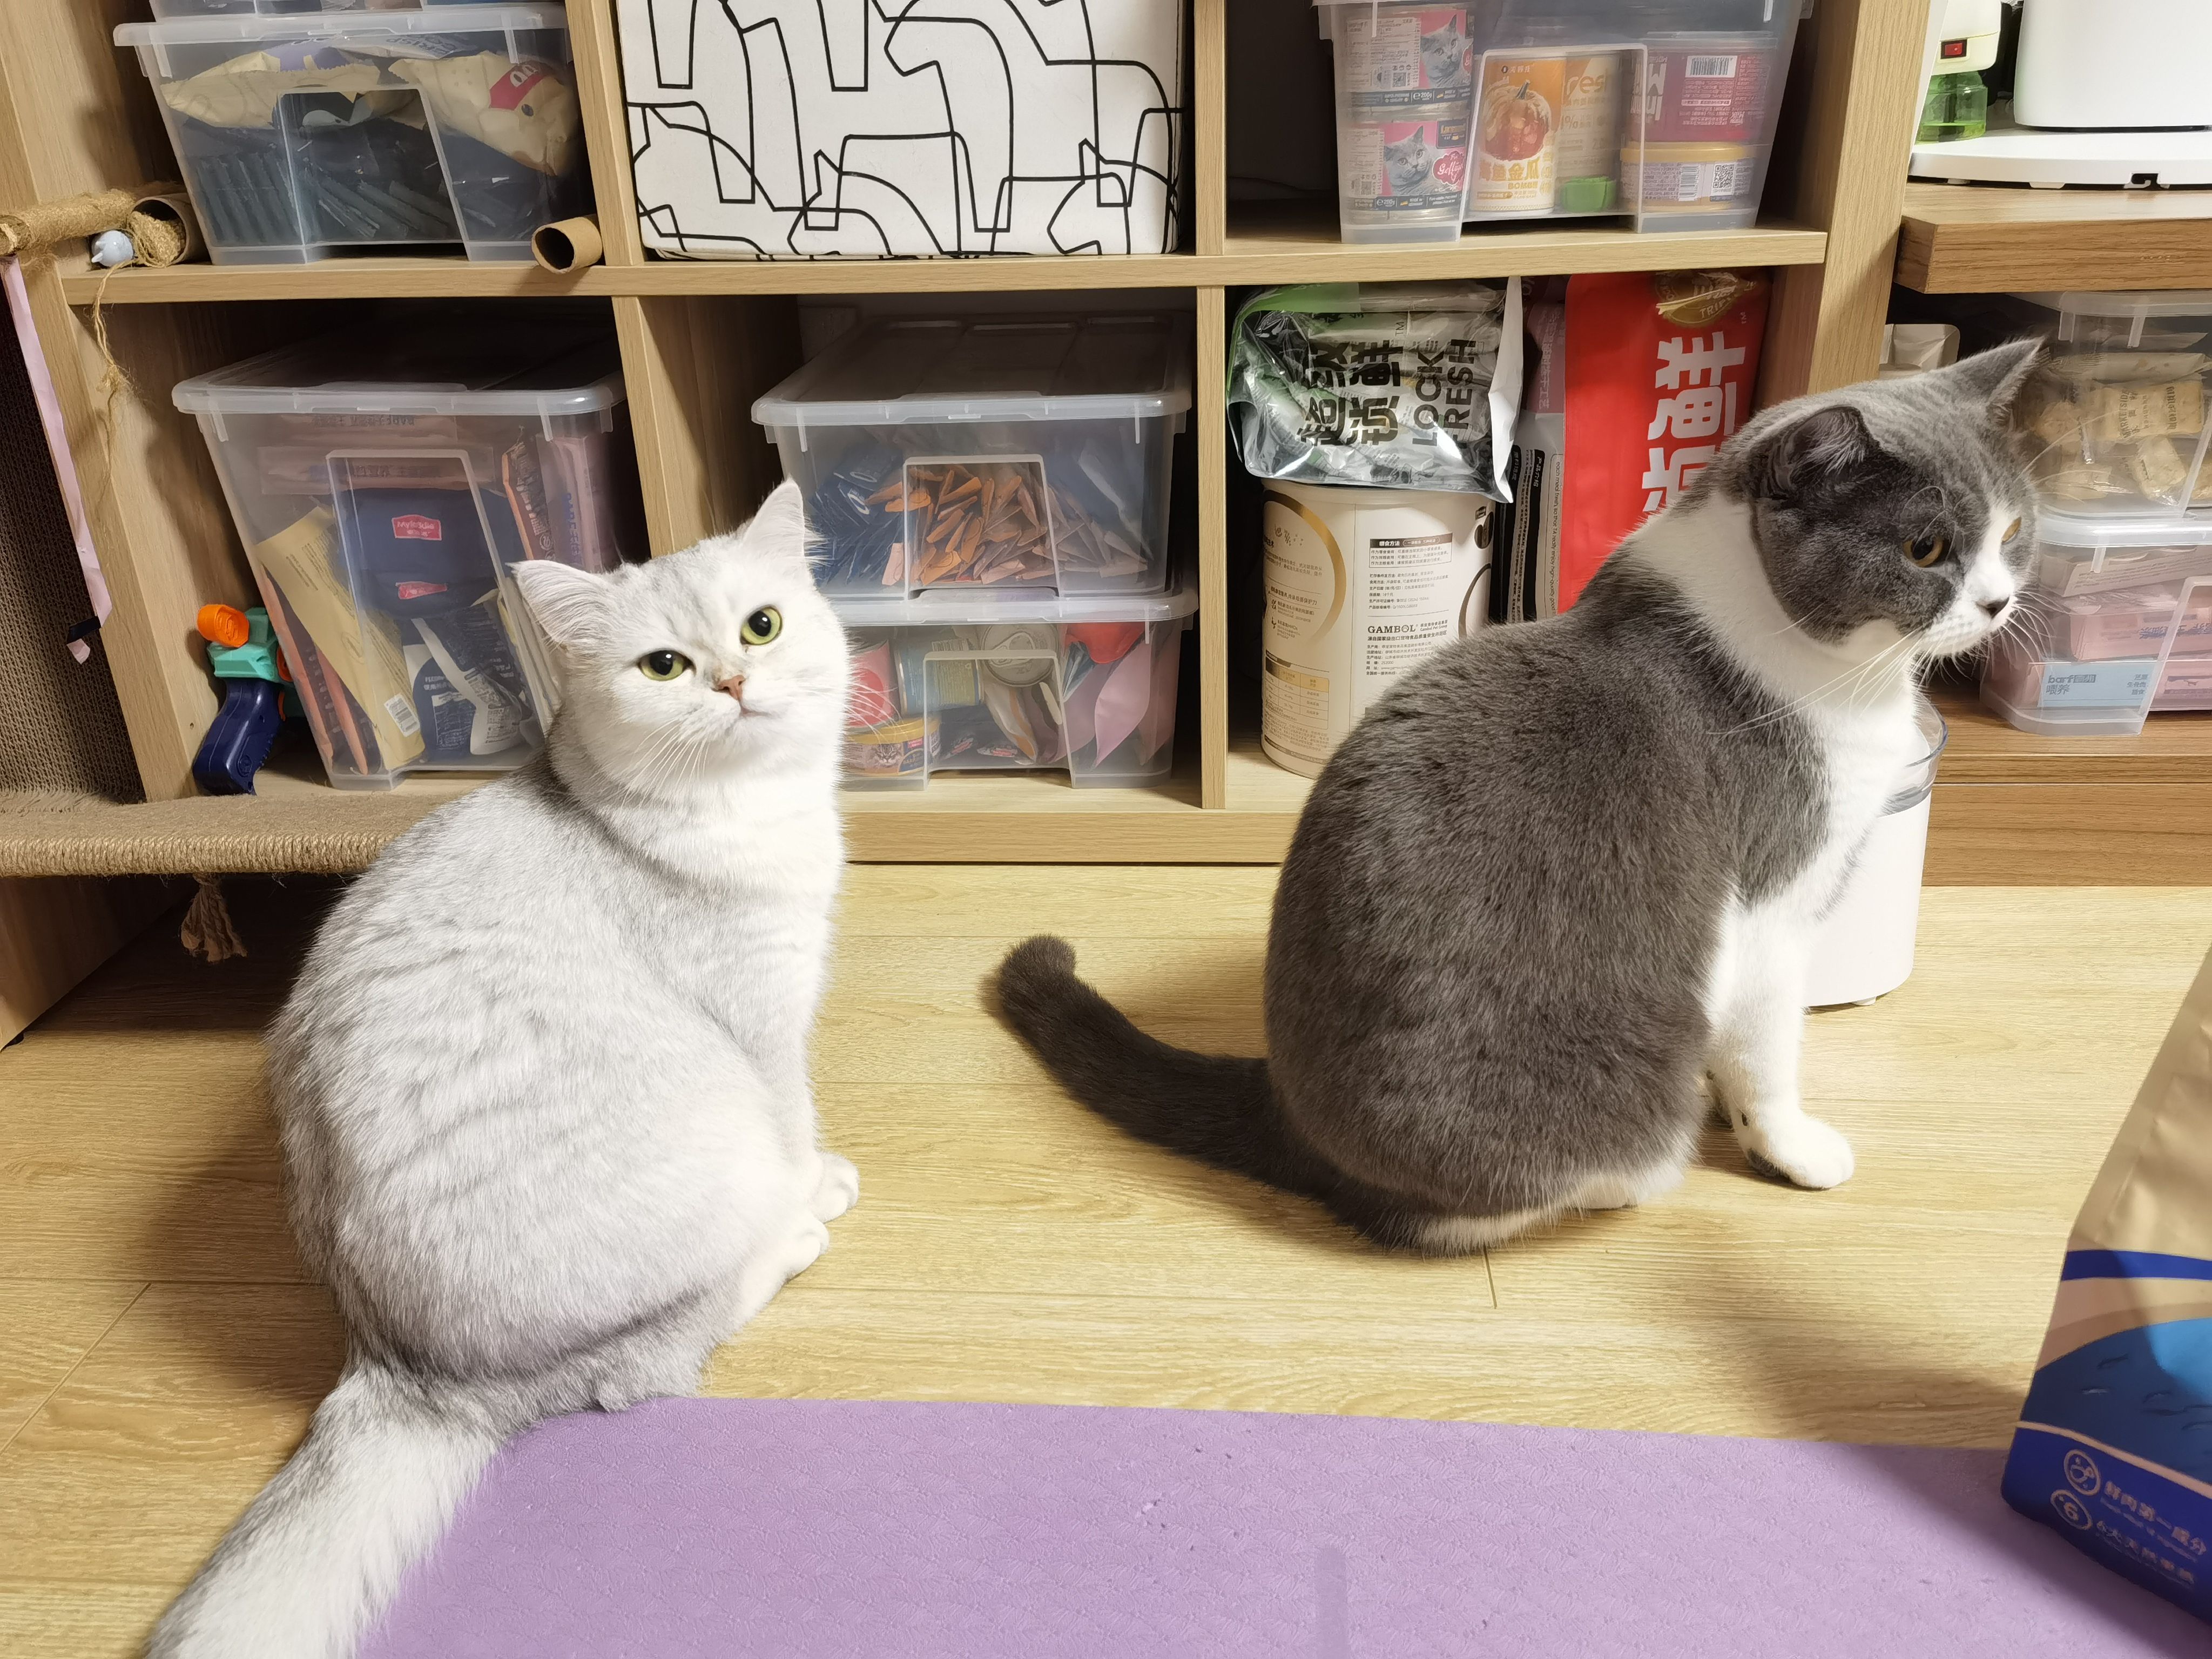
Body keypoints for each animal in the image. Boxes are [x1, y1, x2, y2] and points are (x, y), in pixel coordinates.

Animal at [149, 481, 858, 1659]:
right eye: (665, 665)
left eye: (761, 626)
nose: (734, 681)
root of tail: (403, 1368)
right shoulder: (762, 1024)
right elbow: (797, 1120)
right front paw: (820, 1181)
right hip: (712, 1159)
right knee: (639, 1373)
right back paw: (790, 1235)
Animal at [999, 343, 2042, 1253]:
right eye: (1924, 548)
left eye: (2014, 531)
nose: (1998, 603)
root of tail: (1287, 1114)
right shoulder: (1775, 905)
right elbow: (1768, 1051)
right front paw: (1789, 1145)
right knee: (1451, 1215)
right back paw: (1633, 1173)